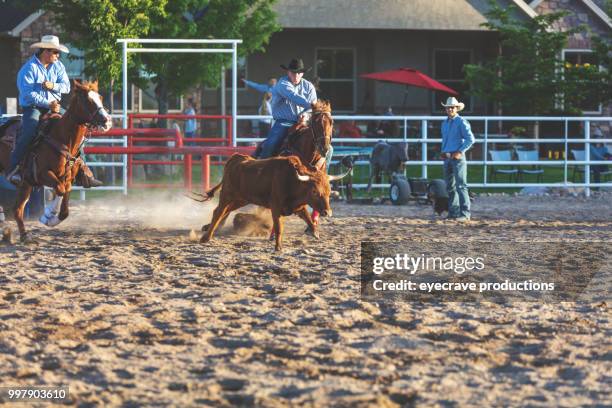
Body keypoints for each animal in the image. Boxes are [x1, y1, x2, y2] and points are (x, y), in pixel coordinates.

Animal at [2, 80, 111, 242]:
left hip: (25, 184)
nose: (107, 121)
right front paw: (47, 215)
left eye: (100, 97)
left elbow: (65, 205)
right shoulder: (43, 174)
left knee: (18, 209)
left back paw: (25, 236)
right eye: (87, 100)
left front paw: (51, 218)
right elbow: (60, 189)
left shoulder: (68, 178)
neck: (61, 138)